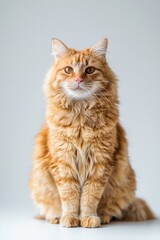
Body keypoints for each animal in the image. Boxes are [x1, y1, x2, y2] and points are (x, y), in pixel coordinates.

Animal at [29, 38, 155, 228]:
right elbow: (69, 196)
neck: (80, 115)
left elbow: (90, 197)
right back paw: (56, 217)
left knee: (113, 209)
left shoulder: (100, 162)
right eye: (68, 70)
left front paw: (88, 218)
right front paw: (70, 218)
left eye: (89, 70)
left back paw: (104, 216)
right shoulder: (63, 161)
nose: (78, 79)